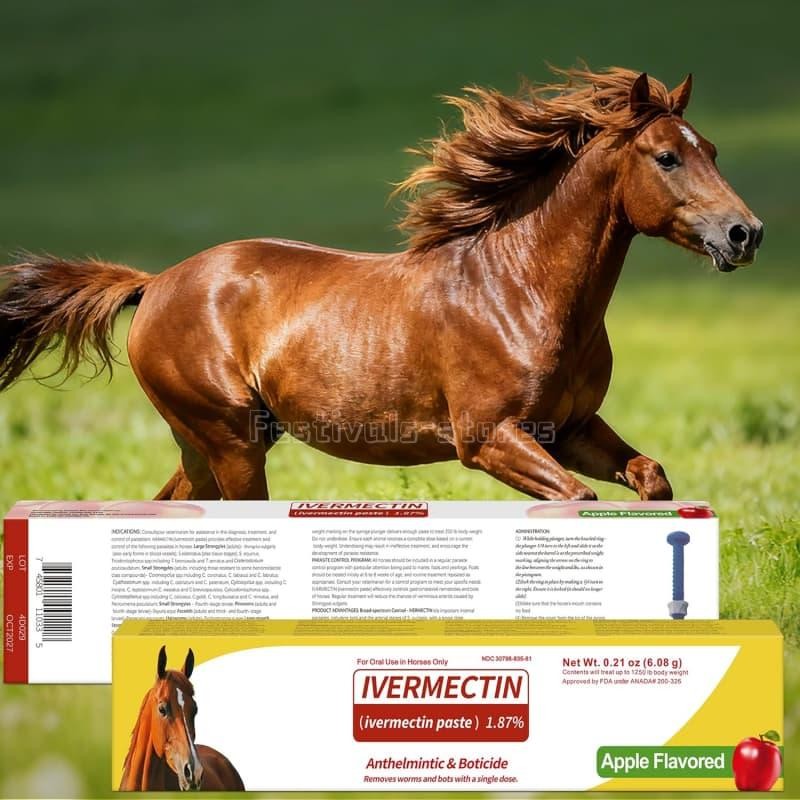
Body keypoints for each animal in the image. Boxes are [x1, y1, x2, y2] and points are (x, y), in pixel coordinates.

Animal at [0, 67, 763, 501]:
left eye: (712, 149)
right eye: (666, 157)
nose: (745, 233)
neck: (520, 293)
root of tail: (155, 282)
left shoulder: (570, 429)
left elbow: (651, 478)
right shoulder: (489, 439)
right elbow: (578, 501)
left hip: (214, 446)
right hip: (231, 442)